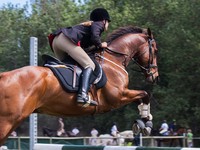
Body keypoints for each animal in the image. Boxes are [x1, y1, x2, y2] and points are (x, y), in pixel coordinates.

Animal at [0, 25, 159, 145]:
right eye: (155, 50)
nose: (154, 76)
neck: (113, 60)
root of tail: (4, 76)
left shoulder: (122, 95)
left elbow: (142, 97)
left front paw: (144, 120)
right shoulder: (117, 97)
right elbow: (145, 94)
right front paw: (146, 124)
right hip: (8, 121)